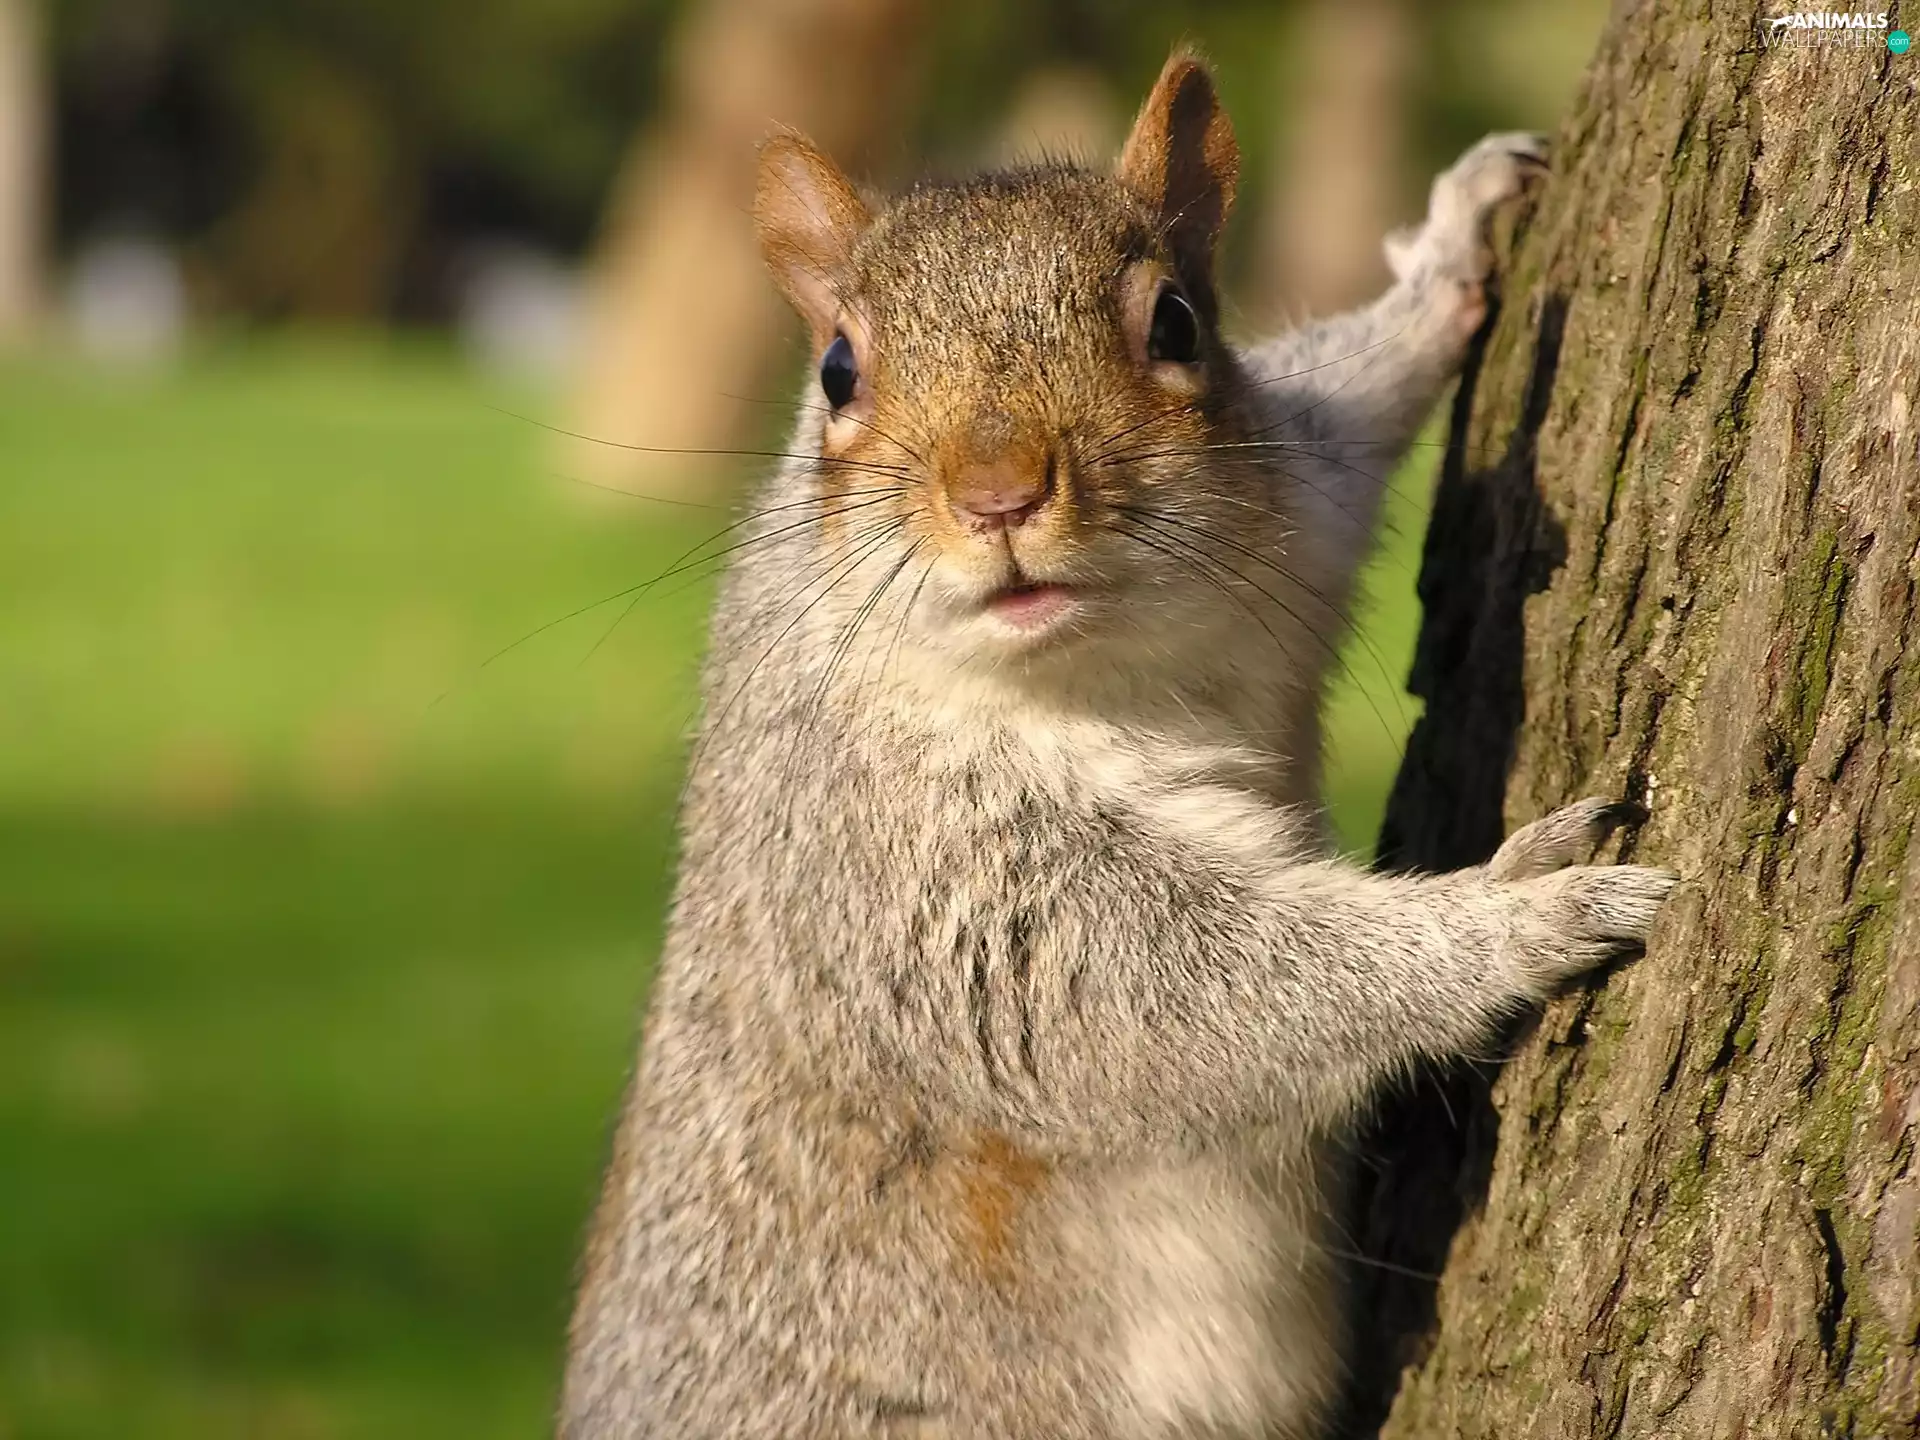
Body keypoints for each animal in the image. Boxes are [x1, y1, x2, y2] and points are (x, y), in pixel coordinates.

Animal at [559, 50, 1676, 1440]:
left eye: (1177, 324)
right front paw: (1519, 912)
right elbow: (1127, 999)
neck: (1119, 668)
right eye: (836, 372)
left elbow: (1344, 405)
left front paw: (1446, 256)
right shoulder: (884, 854)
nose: (998, 496)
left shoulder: (1291, 511)